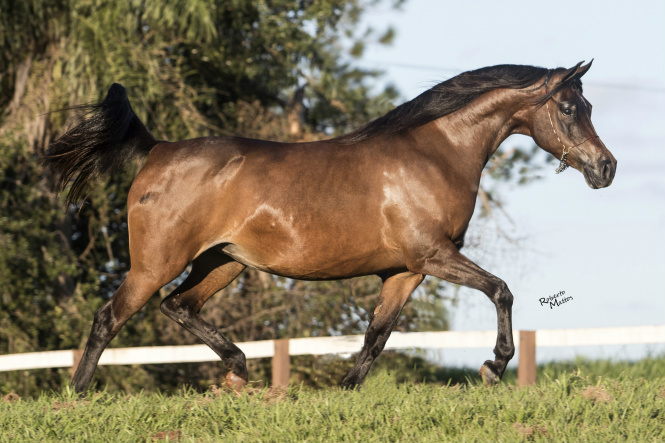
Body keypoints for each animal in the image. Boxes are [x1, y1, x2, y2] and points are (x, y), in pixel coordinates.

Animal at [44, 61, 616, 393]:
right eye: (570, 108)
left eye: (589, 104)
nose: (605, 168)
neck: (436, 153)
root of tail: (159, 149)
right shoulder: (433, 256)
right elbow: (501, 290)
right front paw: (493, 366)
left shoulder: (405, 271)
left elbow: (376, 335)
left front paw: (345, 390)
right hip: (156, 262)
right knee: (109, 318)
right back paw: (77, 394)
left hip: (223, 262)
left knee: (178, 307)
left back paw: (238, 372)